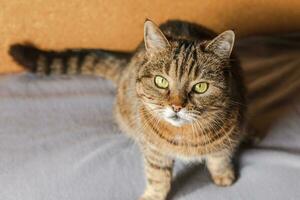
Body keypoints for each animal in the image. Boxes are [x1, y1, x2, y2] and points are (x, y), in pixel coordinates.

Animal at [10, 19, 247, 200]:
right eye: (161, 81)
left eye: (201, 87)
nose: (177, 106)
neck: (184, 135)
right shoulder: (154, 150)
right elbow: (158, 176)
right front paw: (154, 196)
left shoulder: (228, 137)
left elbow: (220, 158)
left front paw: (224, 176)